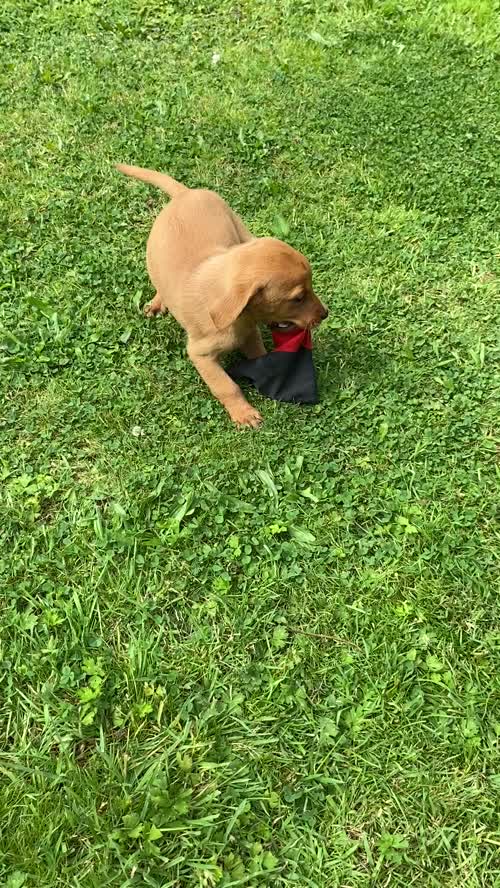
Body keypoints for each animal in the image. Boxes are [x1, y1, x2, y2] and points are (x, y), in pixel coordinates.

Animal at [116, 168, 328, 432]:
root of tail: (184, 193)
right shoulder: (200, 355)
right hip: (154, 257)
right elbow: (226, 386)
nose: (325, 314)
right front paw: (244, 413)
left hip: (240, 230)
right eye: (298, 298)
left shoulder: (250, 333)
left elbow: (258, 354)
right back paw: (157, 303)